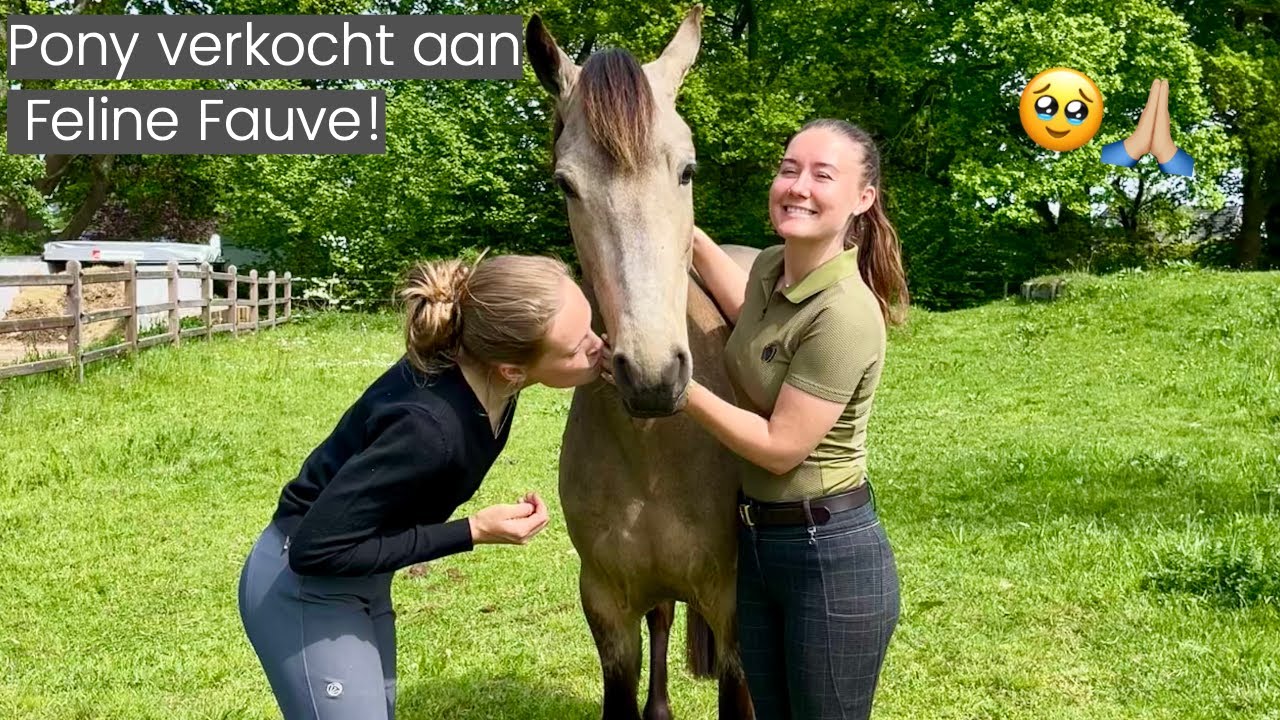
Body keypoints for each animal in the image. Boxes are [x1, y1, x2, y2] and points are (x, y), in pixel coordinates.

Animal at [526, 7, 760, 720]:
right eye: (566, 183)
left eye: (687, 170)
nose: (653, 377)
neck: (657, 449)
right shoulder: (607, 607)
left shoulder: (736, 609)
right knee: (661, 618)